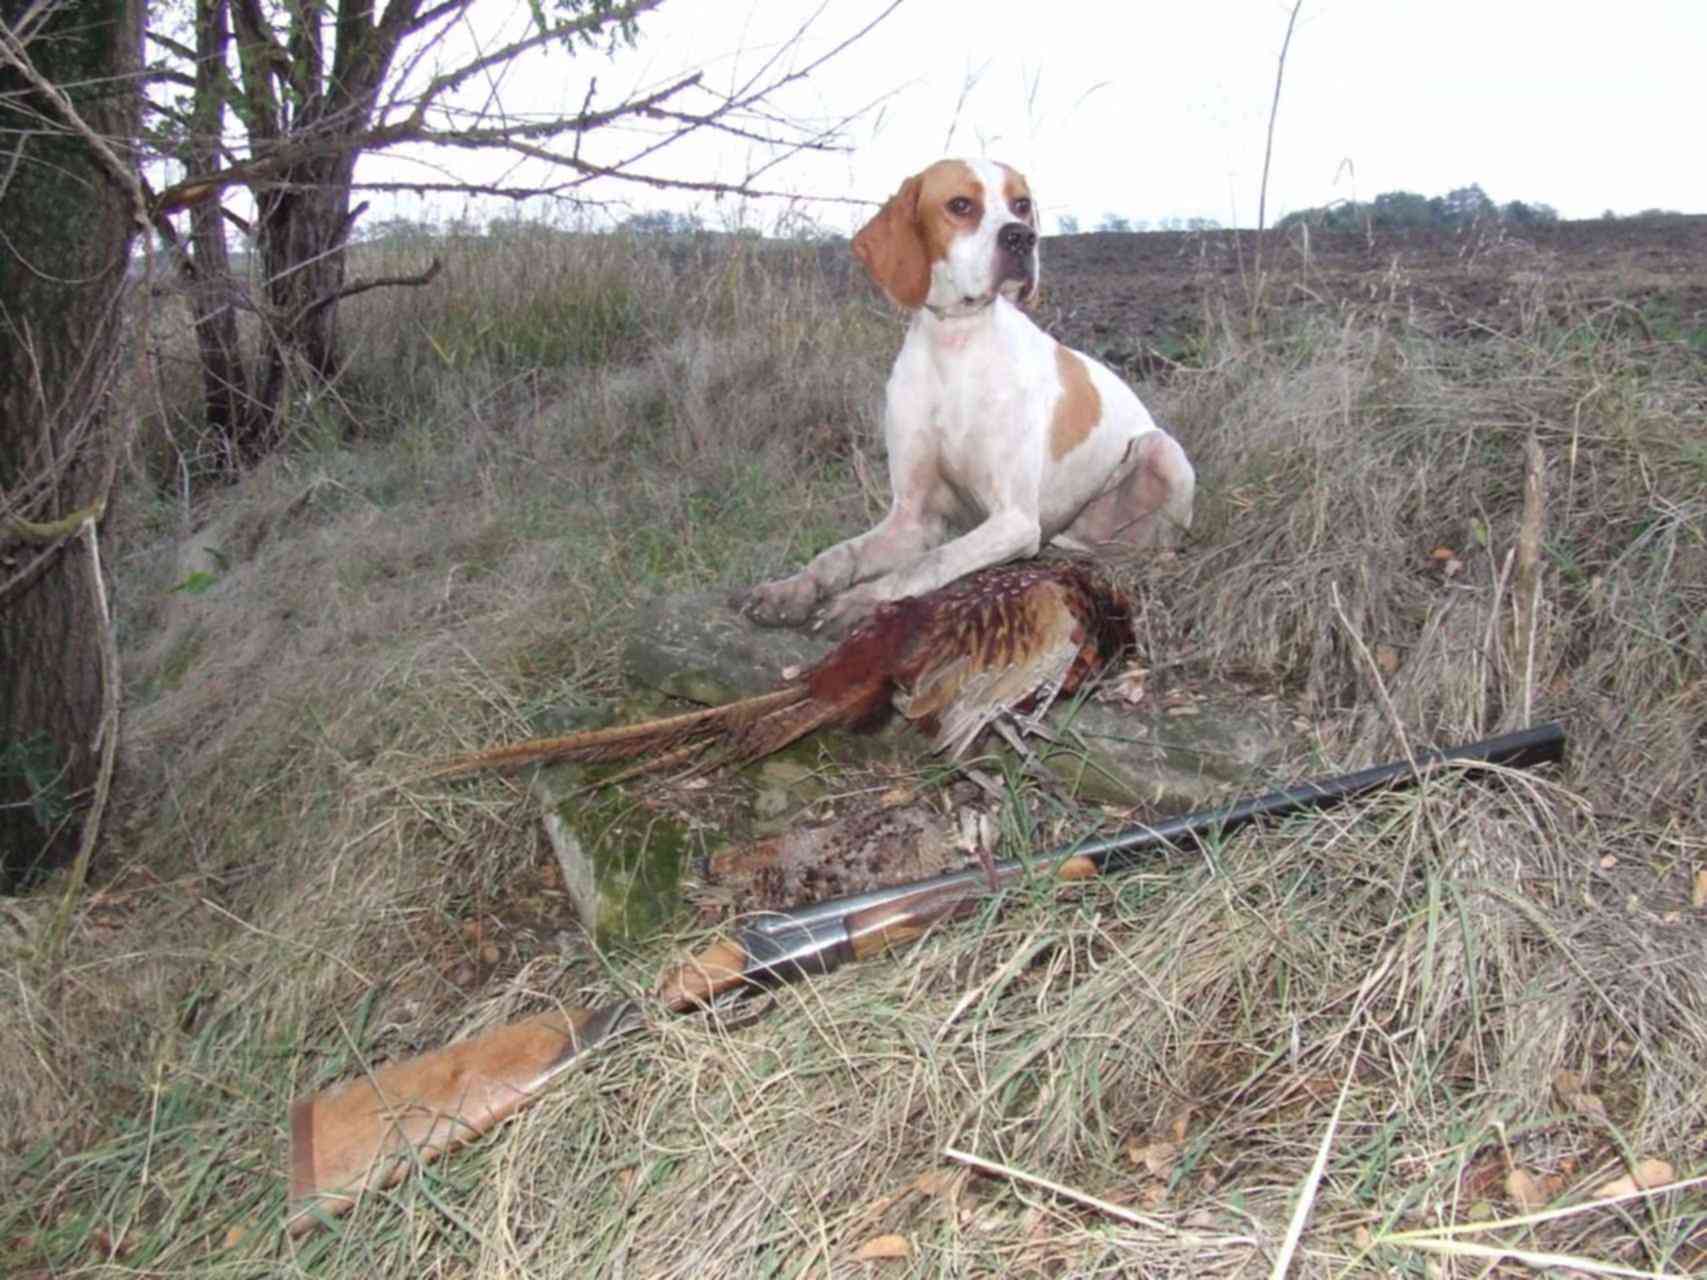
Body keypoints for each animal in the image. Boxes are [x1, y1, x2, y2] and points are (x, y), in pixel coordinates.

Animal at [740, 159, 1194, 638]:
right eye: (960, 205)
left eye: (1021, 204)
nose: (1021, 237)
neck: (955, 348)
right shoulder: (912, 517)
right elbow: (838, 554)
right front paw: (791, 589)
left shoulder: (1013, 520)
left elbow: (928, 563)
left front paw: (864, 599)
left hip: (1162, 451)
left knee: (1156, 546)